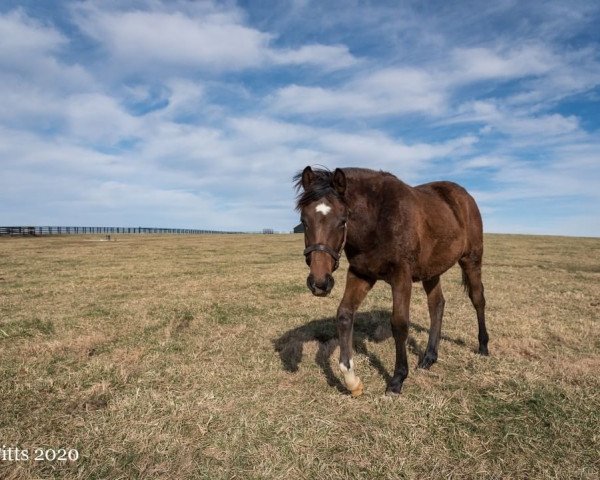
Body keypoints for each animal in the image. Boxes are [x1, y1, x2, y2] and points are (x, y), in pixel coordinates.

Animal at [294, 167, 488, 396]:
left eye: (342, 220)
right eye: (304, 220)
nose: (320, 282)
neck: (376, 220)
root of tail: (465, 196)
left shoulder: (401, 278)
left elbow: (399, 323)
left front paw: (397, 379)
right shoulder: (361, 274)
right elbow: (344, 315)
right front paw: (352, 381)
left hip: (471, 260)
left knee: (478, 299)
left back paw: (483, 347)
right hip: (431, 271)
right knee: (437, 305)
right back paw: (429, 357)